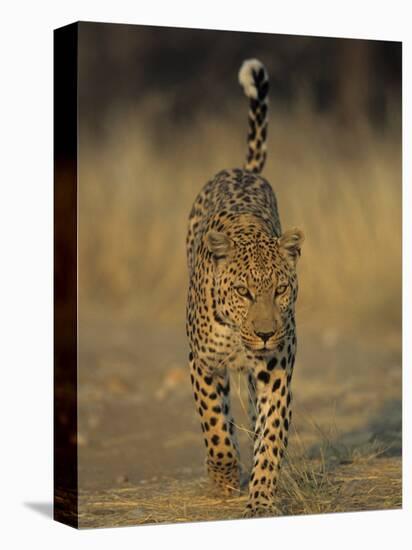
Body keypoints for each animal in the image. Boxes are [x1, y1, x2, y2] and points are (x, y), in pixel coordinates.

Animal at [186, 58, 302, 520]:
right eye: (244, 292)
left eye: (281, 290)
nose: (266, 333)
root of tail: (243, 171)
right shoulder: (202, 361)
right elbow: (214, 424)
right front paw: (223, 477)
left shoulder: (276, 371)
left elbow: (270, 437)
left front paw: (262, 497)